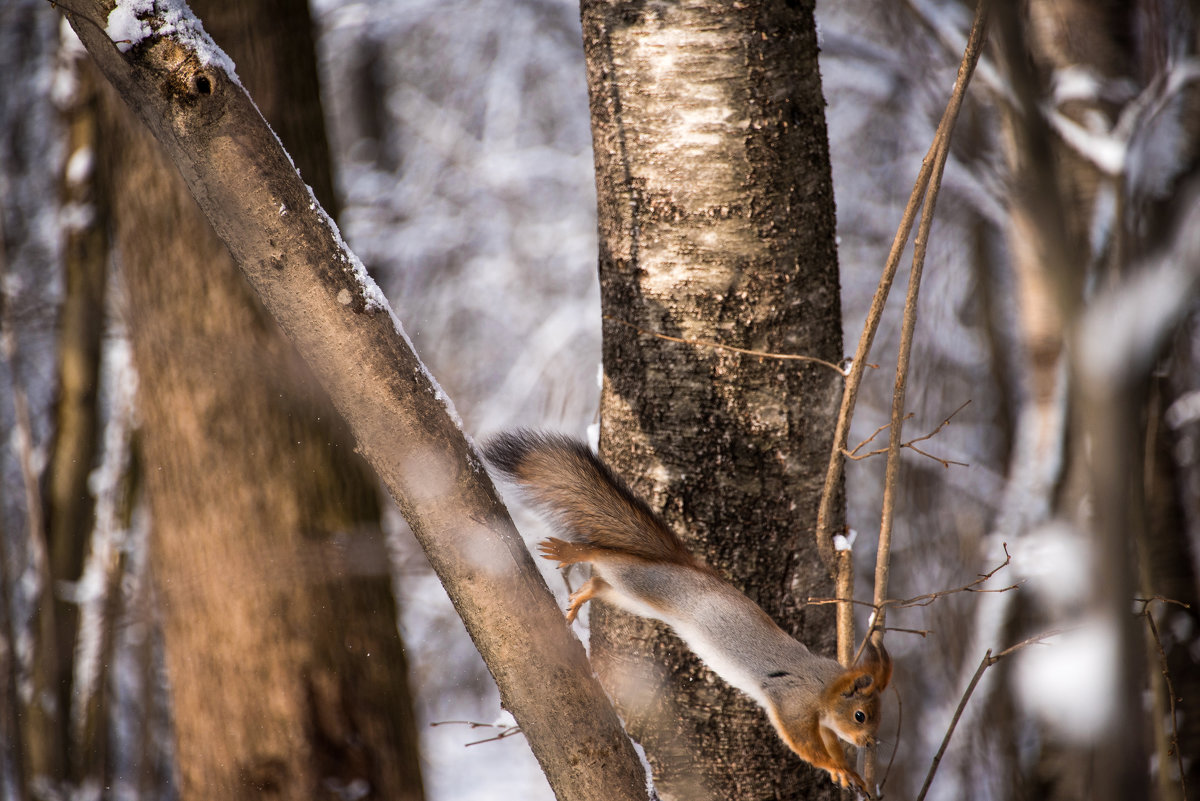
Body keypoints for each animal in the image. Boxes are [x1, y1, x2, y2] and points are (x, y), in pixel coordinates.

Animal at [484, 431, 892, 796]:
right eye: (860, 715)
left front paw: (846, 771)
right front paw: (839, 766)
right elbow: (802, 744)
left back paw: (583, 593)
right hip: (644, 583)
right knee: (605, 557)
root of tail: (685, 567)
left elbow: (826, 742)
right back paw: (573, 552)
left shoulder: (820, 722)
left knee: (601, 583)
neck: (822, 685)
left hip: (636, 599)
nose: (869, 744)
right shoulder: (790, 702)